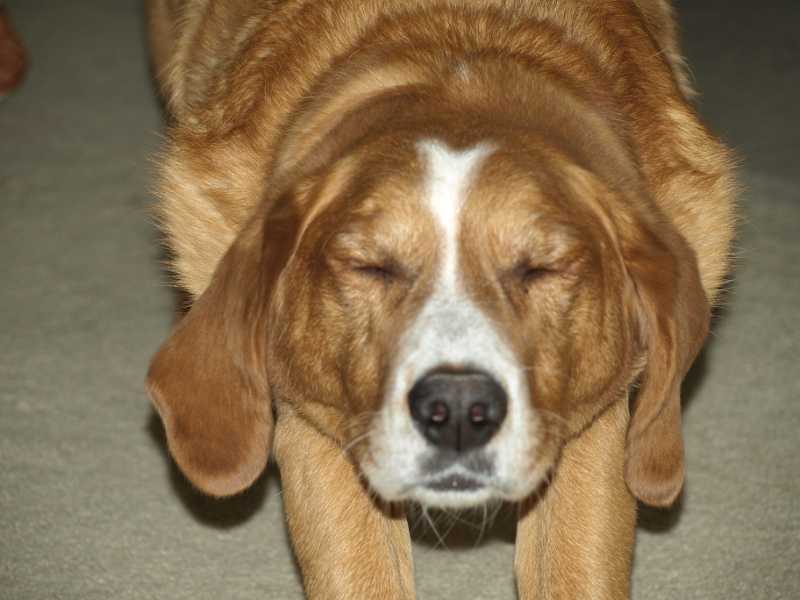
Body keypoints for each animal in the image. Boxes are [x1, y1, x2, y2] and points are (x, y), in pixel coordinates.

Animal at [145, 1, 736, 597]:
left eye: (541, 268)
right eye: (370, 266)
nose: (456, 410)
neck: (456, 53)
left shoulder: (591, 428)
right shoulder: (318, 426)